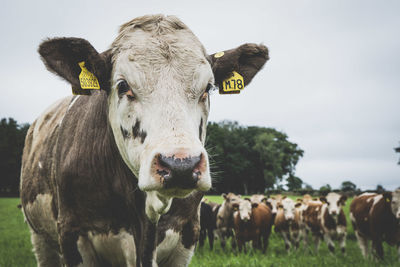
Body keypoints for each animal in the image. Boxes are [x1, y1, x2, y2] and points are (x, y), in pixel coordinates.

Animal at [18, 15, 268, 267]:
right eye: (122, 85)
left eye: (208, 87)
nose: (181, 165)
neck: (147, 214)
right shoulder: (71, 233)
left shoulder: (187, 235)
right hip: (40, 239)